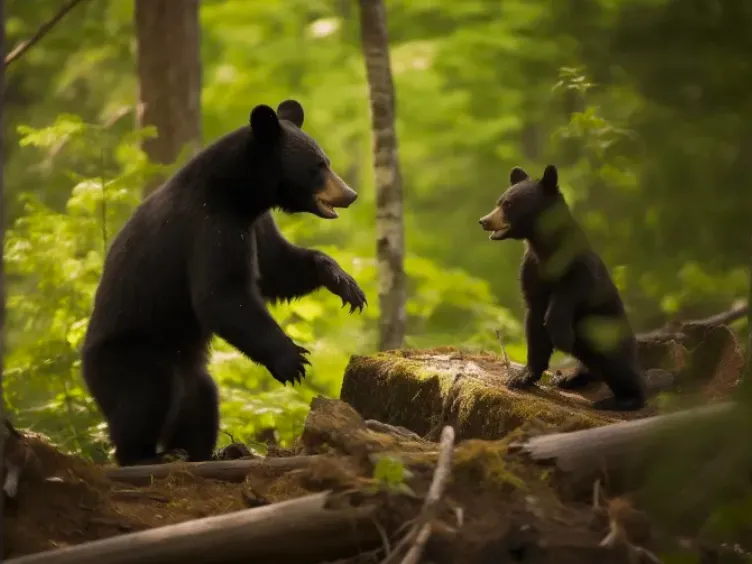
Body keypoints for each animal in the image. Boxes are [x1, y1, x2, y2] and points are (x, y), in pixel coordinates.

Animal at [81, 99, 367, 466]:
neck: (238, 195)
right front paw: (293, 359)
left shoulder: (255, 224)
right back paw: (145, 456)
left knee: (201, 402)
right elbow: (222, 295)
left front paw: (346, 284)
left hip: (189, 370)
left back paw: (206, 451)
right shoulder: (210, 227)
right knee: (144, 395)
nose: (350, 194)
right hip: (129, 354)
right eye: (319, 165)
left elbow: (277, 269)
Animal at [478, 164, 646, 411]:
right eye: (499, 201)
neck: (545, 250)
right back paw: (568, 377)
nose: (484, 220)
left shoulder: (579, 270)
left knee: (619, 365)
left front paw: (561, 335)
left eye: (508, 204)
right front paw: (521, 377)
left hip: (610, 333)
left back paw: (623, 399)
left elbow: (566, 297)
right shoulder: (531, 270)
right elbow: (534, 322)